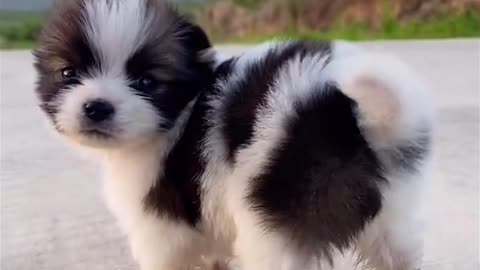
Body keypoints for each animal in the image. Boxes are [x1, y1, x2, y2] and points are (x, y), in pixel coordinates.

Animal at [32, 0, 432, 270]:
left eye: (146, 81)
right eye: (68, 73)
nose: (97, 107)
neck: (183, 109)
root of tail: (360, 121)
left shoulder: (158, 230)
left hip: (275, 222)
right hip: (395, 219)